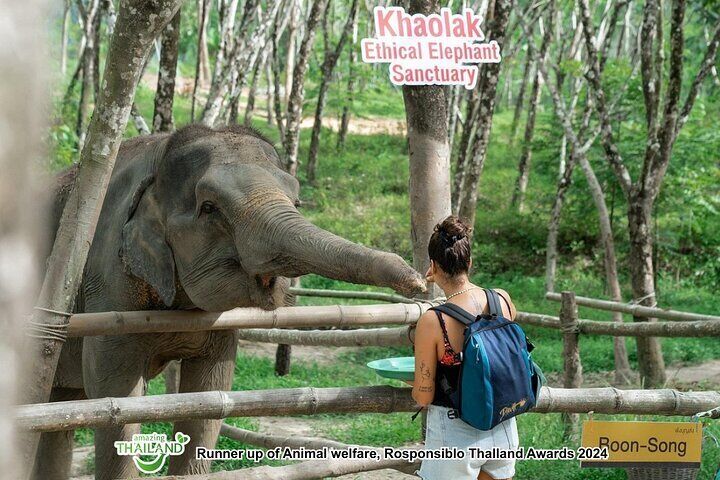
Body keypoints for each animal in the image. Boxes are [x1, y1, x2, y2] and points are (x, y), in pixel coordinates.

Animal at [35, 124, 425, 479]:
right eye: (209, 208)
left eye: (297, 202)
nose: (418, 280)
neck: (159, 158)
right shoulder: (107, 282)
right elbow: (115, 395)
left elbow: (210, 395)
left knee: (60, 411)